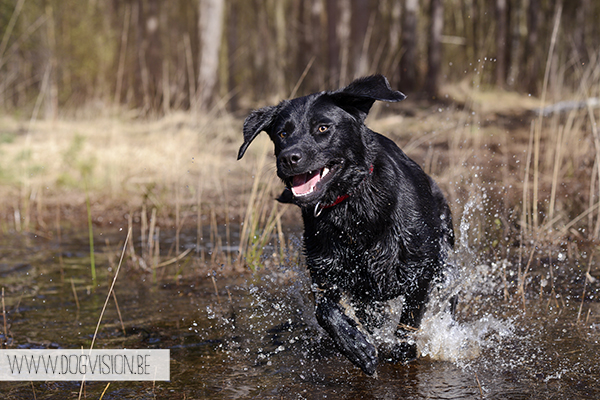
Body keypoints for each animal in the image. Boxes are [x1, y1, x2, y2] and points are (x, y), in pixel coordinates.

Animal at [237, 75, 452, 376]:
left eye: (323, 127)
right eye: (282, 134)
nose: (288, 158)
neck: (351, 207)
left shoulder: (420, 270)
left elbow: (408, 320)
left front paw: (403, 351)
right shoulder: (327, 273)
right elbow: (324, 311)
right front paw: (356, 346)